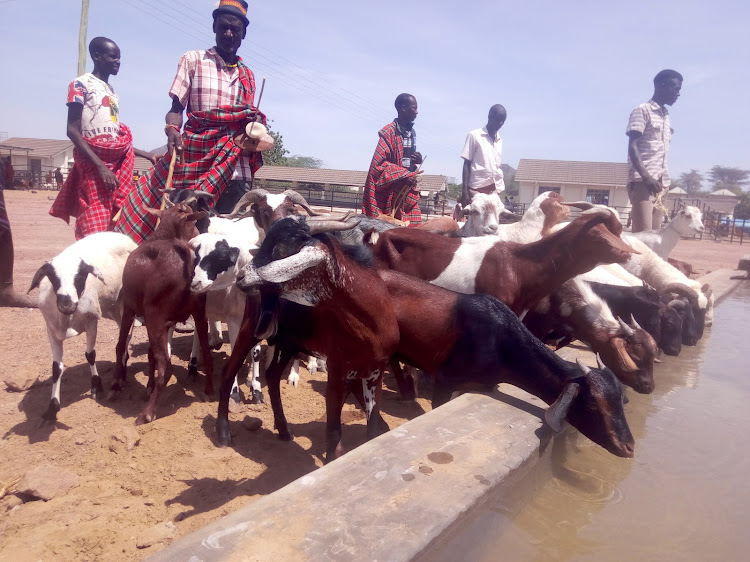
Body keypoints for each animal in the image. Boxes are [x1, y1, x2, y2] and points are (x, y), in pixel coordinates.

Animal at [29, 230, 138, 418]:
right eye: (53, 278)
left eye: (80, 276)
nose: (66, 304)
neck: (67, 319)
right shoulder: (51, 330)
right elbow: (56, 368)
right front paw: (52, 408)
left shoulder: (91, 321)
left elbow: (90, 355)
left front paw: (96, 387)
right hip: (113, 308)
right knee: (123, 339)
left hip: (125, 304)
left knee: (125, 339)